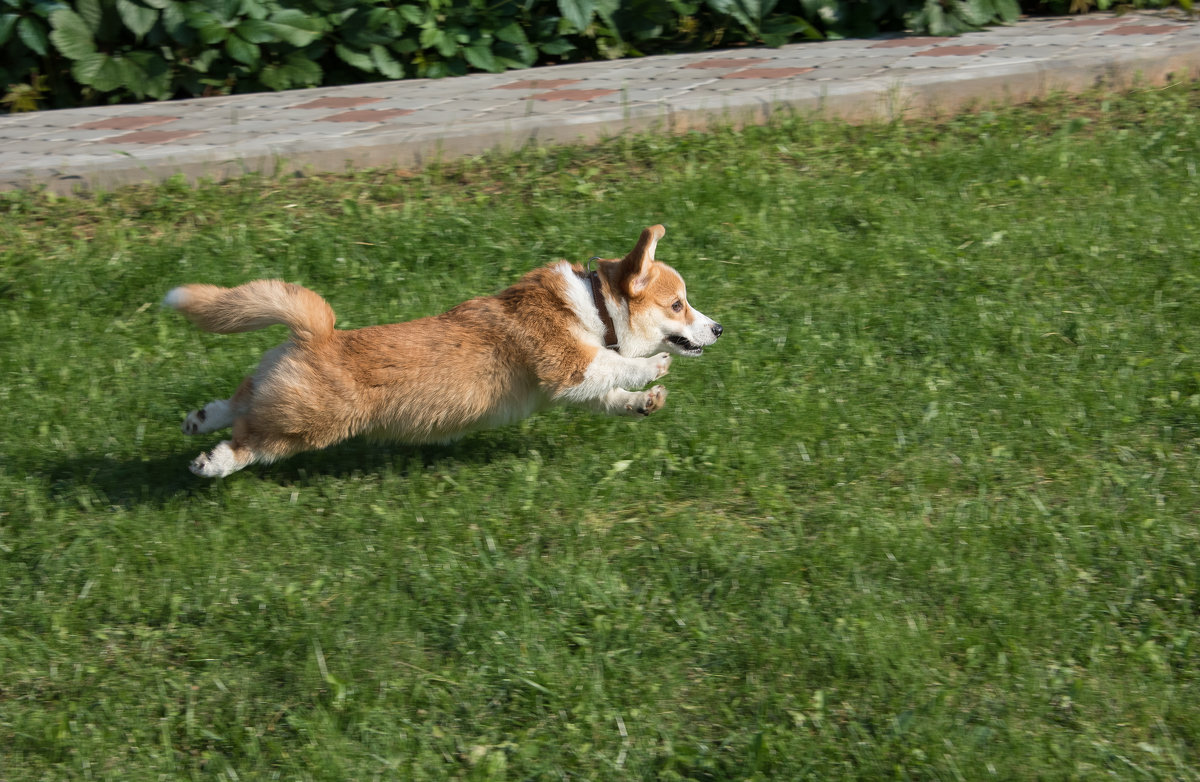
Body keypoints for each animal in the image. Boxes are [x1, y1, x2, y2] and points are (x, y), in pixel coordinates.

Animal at [166, 225, 720, 477]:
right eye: (678, 304)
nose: (718, 329)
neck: (594, 306)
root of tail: (316, 334)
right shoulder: (569, 368)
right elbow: (620, 365)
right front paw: (653, 366)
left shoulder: (576, 387)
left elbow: (613, 396)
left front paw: (645, 401)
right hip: (310, 424)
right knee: (250, 440)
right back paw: (211, 462)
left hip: (276, 390)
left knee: (237, 399)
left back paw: (198, 419)